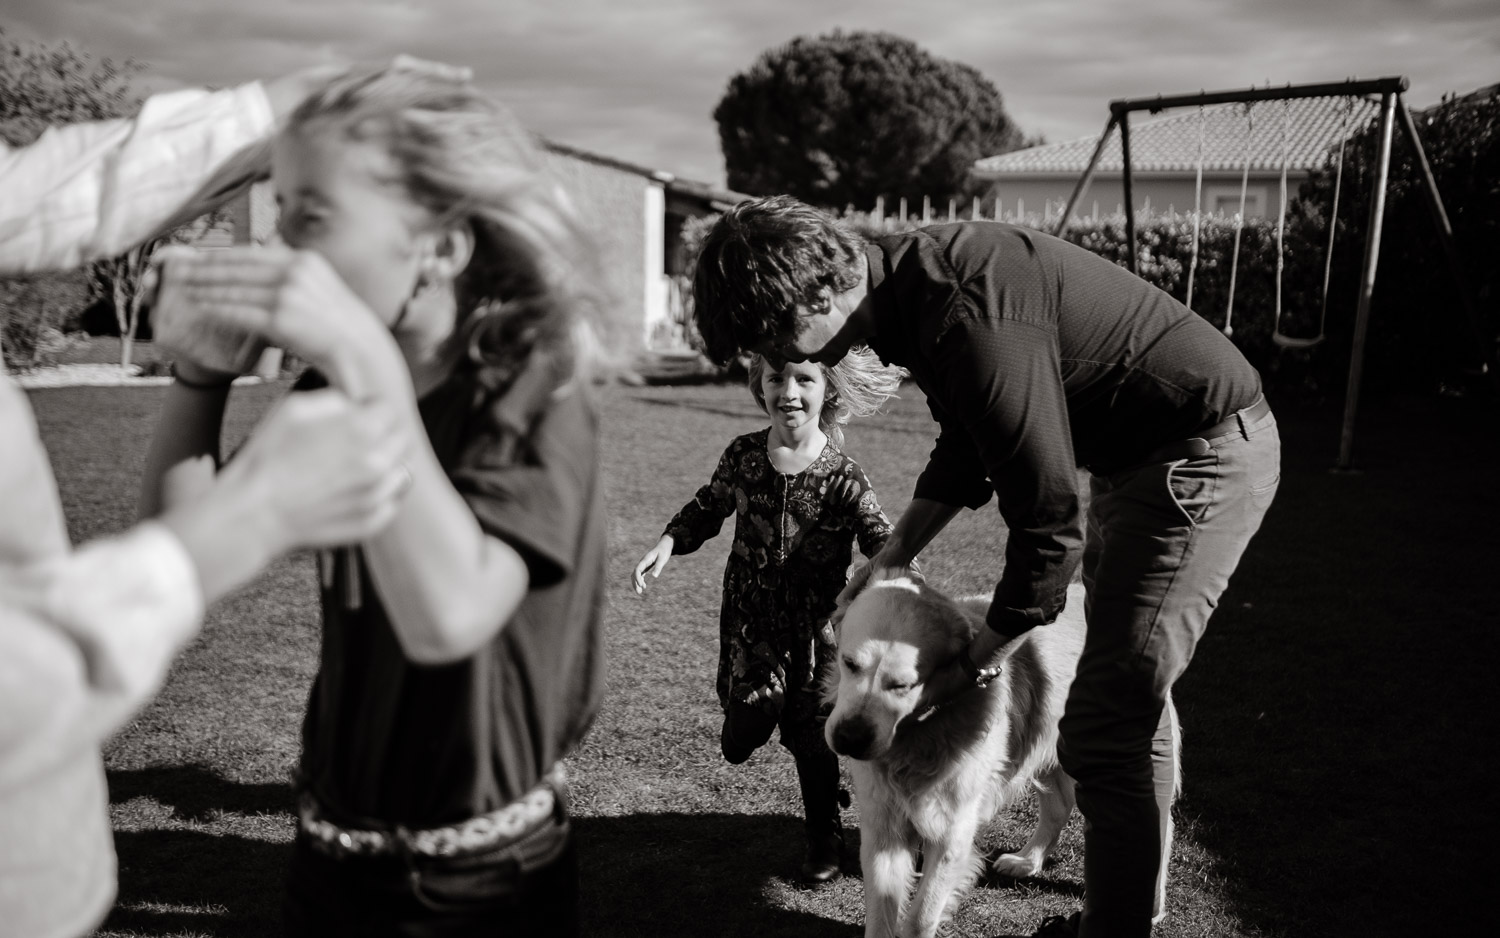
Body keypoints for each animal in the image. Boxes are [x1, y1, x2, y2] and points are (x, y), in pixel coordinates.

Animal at [828, 567, 1176, 936]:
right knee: (1058, 805)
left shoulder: (952, 833)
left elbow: (921, 916)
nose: (849, 738)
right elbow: (881, 912)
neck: (921, 735)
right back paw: (1028, 860)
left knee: (1160, 826)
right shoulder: (883, 825)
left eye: (902, 685)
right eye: (849, 663)